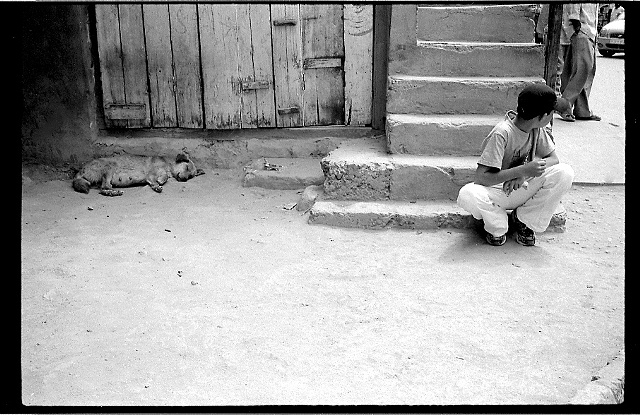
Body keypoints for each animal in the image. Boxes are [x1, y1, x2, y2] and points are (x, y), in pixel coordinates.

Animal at [74, 154, 206, 197]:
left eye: (191, 176)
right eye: (186, 168)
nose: (185, 180)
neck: (168, 164)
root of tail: (80, 172)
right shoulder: (151, 174)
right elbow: (160, 178)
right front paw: (158, 184)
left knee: (103, 189)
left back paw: (113, 192)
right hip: (109, 167)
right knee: (105, 187)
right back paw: (114, 192)